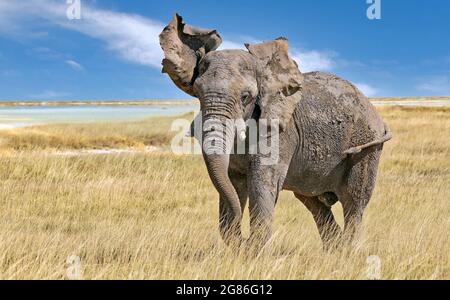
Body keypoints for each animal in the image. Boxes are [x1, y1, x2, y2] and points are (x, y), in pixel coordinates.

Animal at [158, 14, 390, 248]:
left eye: (245, 97)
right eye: (197, 93)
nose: (244, 239)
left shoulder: (280, 130)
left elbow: (261, 182)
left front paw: (255, 250)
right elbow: (233, 182)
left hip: (367, 144)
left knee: (354, 201)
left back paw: (349, 251)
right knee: (313, 203)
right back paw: (335, 250)